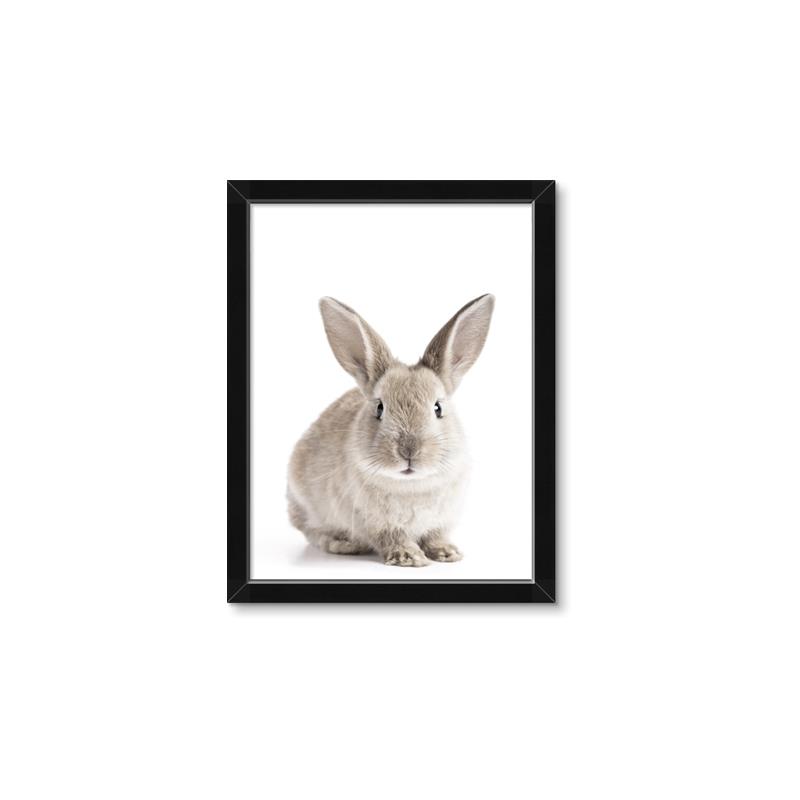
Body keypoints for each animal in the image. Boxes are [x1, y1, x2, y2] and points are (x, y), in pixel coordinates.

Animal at [287, 293, 495, 567]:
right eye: (379, 408)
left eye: (438, 407)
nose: (409, 451)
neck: (411, 485)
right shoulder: (376, 523)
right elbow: (392, 538)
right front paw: (410, 558)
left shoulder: (440, 521)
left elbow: (435, 536)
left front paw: (448, 553)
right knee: (311, 530)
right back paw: (343, 544)